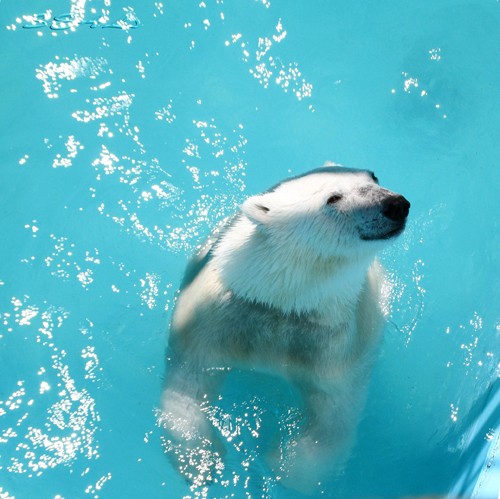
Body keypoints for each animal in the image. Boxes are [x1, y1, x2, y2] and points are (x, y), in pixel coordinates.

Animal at [160, 165, 410, 492]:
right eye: (333, 198)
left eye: (373, 177)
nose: (395, 205)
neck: (283, 304)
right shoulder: (213, 319)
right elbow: (187, 383)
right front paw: (203, 461)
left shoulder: (337, 346)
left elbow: (334, 416)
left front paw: (280, 458)